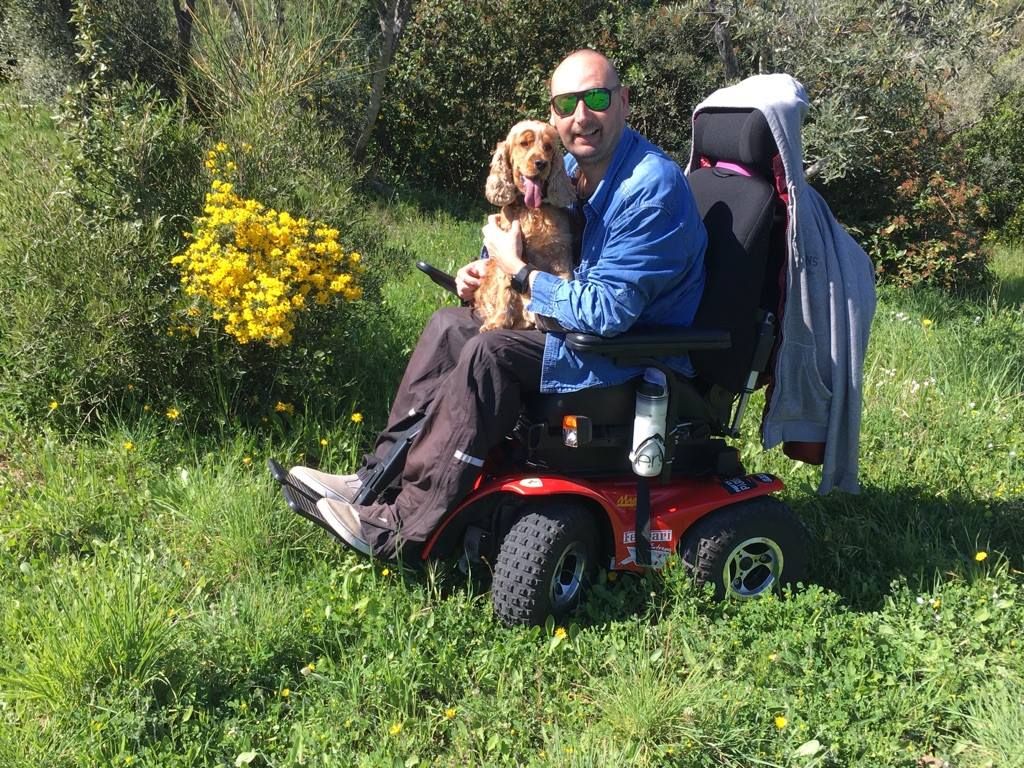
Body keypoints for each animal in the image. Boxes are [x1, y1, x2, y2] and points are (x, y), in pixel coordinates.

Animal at [473, 121, 577, 331]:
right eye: (524, 143)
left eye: (548, 147)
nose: (541, 163)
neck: (531, 210)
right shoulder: (503, 257)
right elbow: (505, 290)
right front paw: (498, 322)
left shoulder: (560, 253)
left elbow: (562, 282)